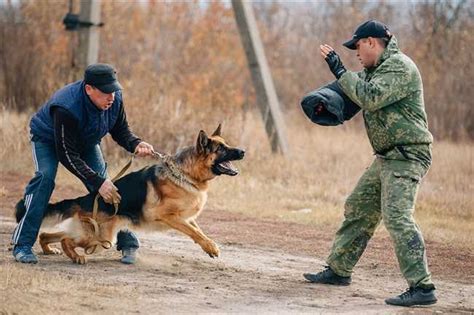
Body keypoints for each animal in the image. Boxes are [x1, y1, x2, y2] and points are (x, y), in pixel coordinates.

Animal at [15, 124, 244, 266]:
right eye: (221, 148)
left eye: (227, 144)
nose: (242, 151)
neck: (186, 174)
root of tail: (84, 198)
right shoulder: (171, 217)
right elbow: (194, 232)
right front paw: (211, 247)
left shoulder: (187, 218)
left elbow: (199, 231)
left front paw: (209, 246)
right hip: (98, 238)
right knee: (65, 240)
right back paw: (76, 257)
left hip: (95, 236)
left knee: (49, 234)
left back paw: (49, 249)